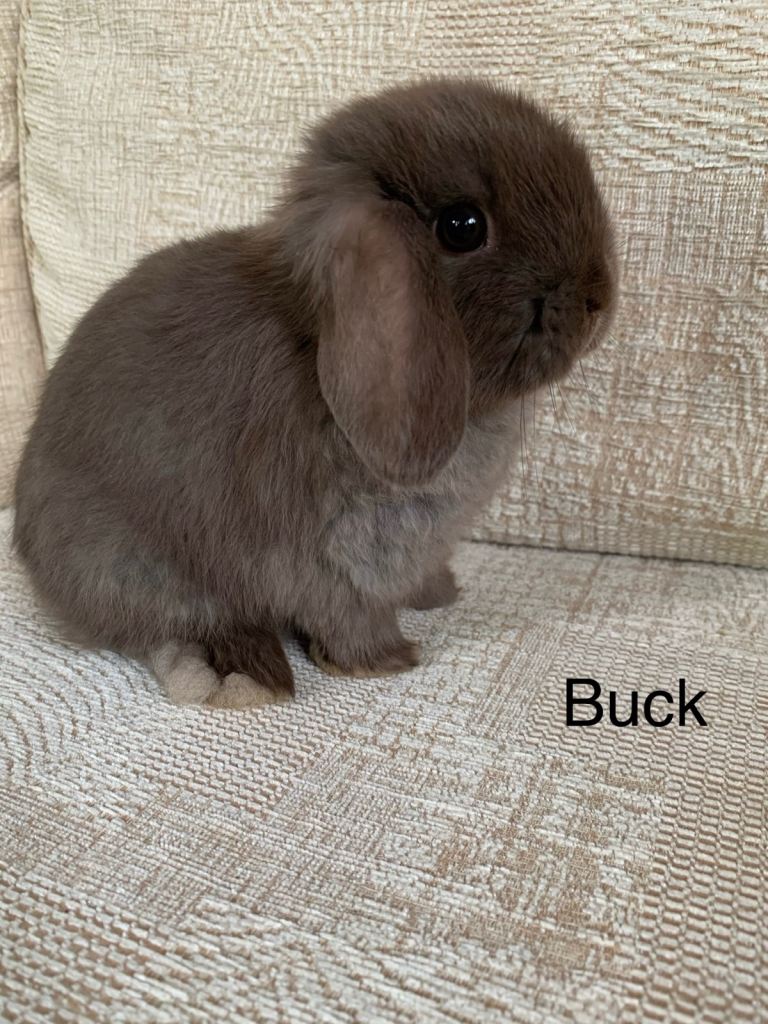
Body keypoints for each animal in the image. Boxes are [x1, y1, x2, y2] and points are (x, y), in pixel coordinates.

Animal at [13, 77, 617, 709]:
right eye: (463, 226)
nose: (599, 300)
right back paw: (237, 677)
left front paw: (440, 593)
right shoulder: (330, 558)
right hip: (137, 566)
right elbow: (345, 615)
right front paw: (387, 661)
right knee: (166, 625)